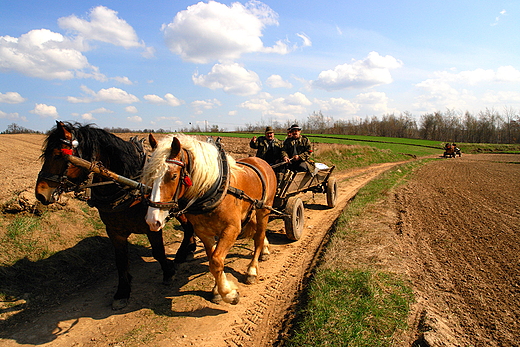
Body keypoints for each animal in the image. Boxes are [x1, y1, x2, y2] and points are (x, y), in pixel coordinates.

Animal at [35, 121, 197, 310]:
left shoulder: (152, 225)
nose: (40, 194)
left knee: (188, 226)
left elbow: (158, 252)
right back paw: (189, 248)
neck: (130, 185)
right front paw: (122, 291)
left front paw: (168, 271)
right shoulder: (114, 231)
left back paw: (184, 252)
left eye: (57, 156)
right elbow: (121, 261)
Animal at [142, 134, 278, 304]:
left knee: (258, 237)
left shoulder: (232, 228)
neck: (213, 189)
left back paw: (252, 270)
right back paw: (265, 249)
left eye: (173, 176)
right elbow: (214, 260)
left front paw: (228, 293)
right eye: (150, 175)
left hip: (264, 209)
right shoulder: (204, 232)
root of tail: (262, 161)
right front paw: (218, 290)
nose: (152, 221)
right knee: (258, 233)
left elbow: (216, 260)